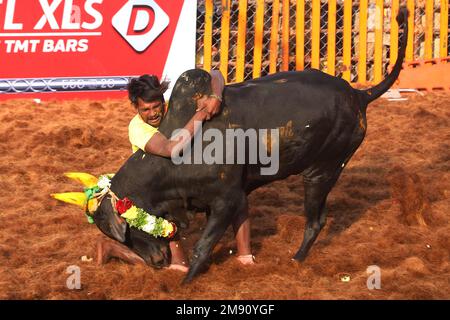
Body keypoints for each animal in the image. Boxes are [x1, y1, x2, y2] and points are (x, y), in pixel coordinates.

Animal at [94, 8, 408, 282]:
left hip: (322, 171)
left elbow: (202, 247)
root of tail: (358, 95)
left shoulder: (226, 200)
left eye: (129, 230)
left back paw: (296, 259)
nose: (156, 262)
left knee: (316, 220)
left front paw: (186, 282)